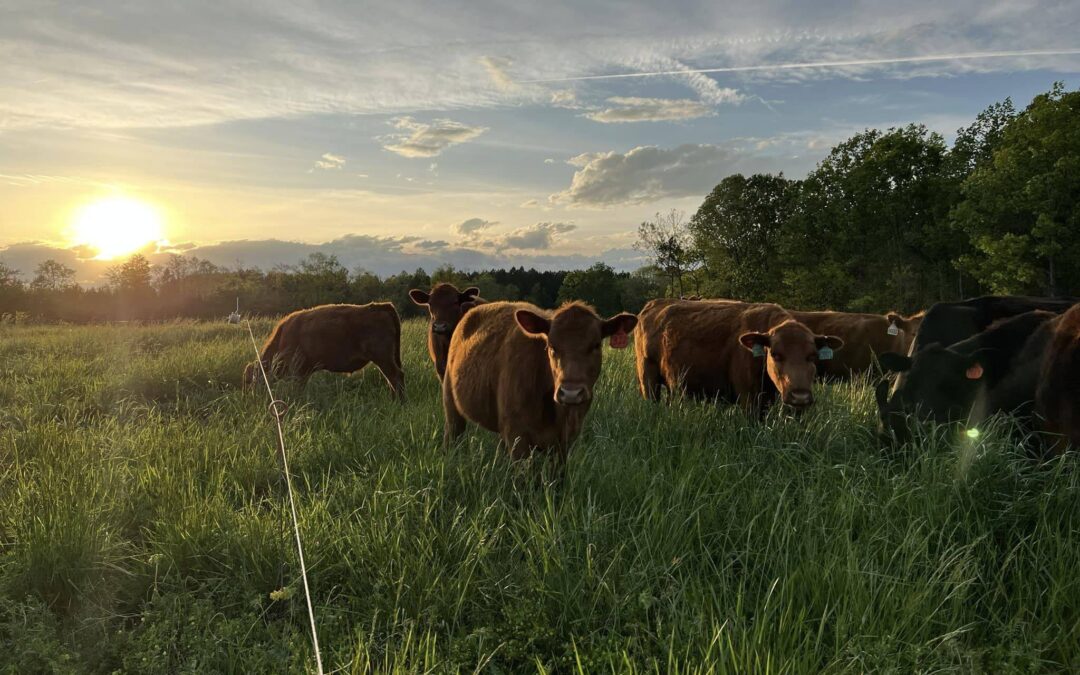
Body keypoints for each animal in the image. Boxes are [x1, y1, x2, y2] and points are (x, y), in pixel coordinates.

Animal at [245, 302, 406, 397]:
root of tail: (379, 306)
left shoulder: (298, 370)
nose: (251, 395)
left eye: (252, 379)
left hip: (383, 358)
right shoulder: (305, 372)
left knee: (395, 377)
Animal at [440, 302, 635, 460]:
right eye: (551, 346)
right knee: (453, 435)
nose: (571, 393)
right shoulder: (517, 436)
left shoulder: (565, 441)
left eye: (596, 345)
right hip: (451, 404)